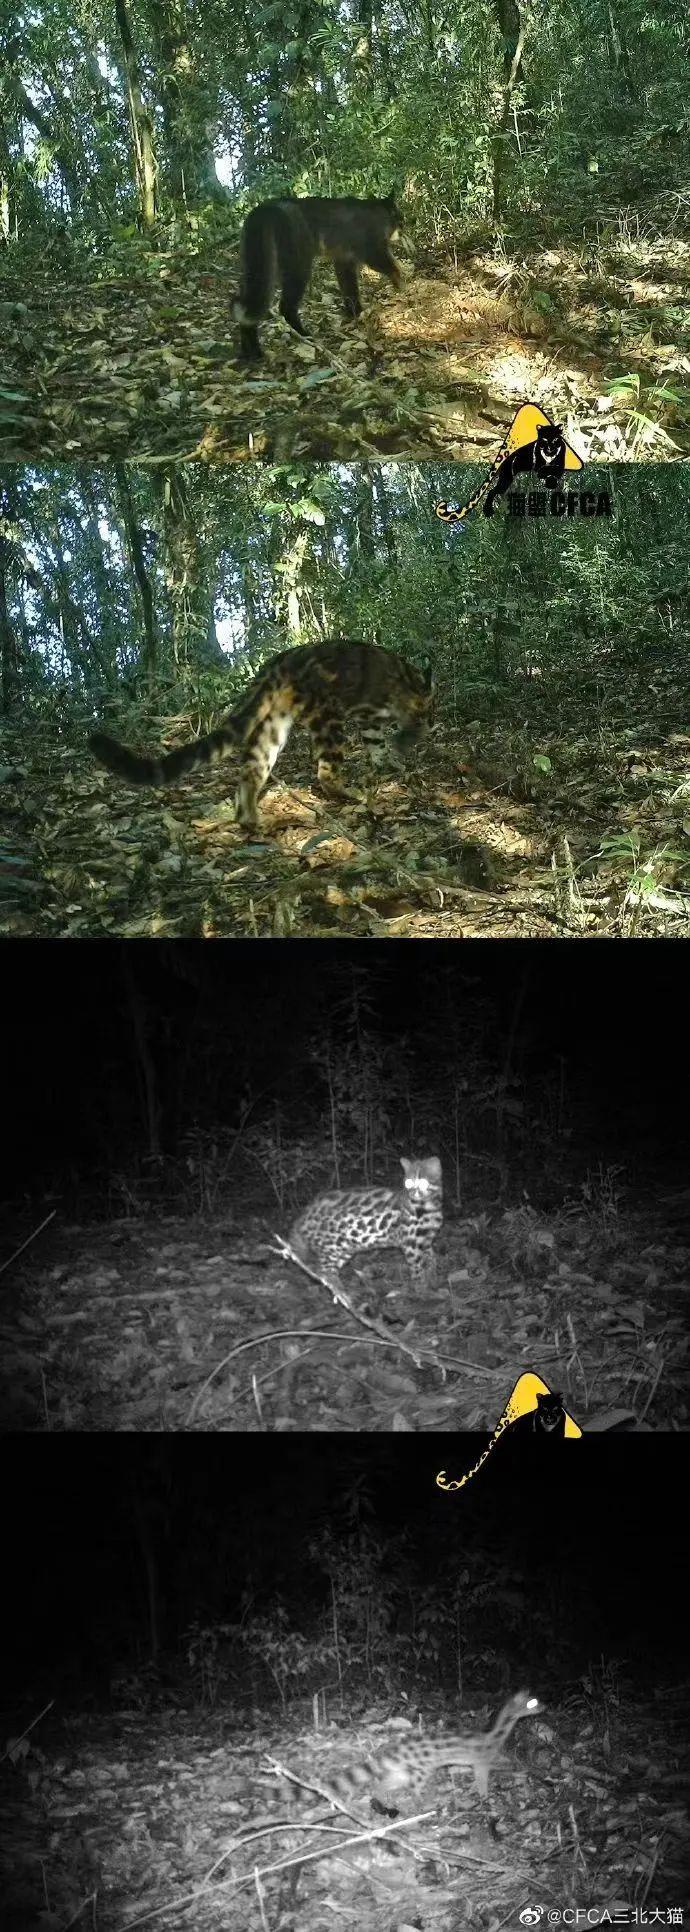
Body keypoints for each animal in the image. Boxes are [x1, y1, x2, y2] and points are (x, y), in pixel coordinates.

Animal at [88, 641, 432, 830]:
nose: (430, 715)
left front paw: (389, 762)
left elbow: (377, 742)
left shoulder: (371, 718)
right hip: (326, 719)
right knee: (325, 772)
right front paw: (402, 750)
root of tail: (280, 661)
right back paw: (352, 795)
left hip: (273, 723)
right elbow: (397, 732)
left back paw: (250, 819)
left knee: (251, 771)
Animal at [260, 1684, 541, 1816]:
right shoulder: (481, 1761)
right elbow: (483, 1779)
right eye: (534, 1702)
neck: (495, 1733)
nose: (545, 1706)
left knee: (381, 1784)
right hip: (418, 1770)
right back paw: (421, 1803)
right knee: (412, 1788)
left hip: (403, 1771)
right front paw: (486, 1797)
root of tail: (392, 1751)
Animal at [287, 1151, 440, 1290]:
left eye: (422, 1182)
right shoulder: (410, 1244)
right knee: (324, 1272)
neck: (429, 1206)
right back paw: (341, 1295)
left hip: (345, 1246)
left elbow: (432, 1259)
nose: (413, 1193)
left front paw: (433, 1278)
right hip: (331, 1246)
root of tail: (305, 1212)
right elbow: (417, 1269)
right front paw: (420, 1290)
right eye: (408, 1182)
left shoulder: (426, 1240)